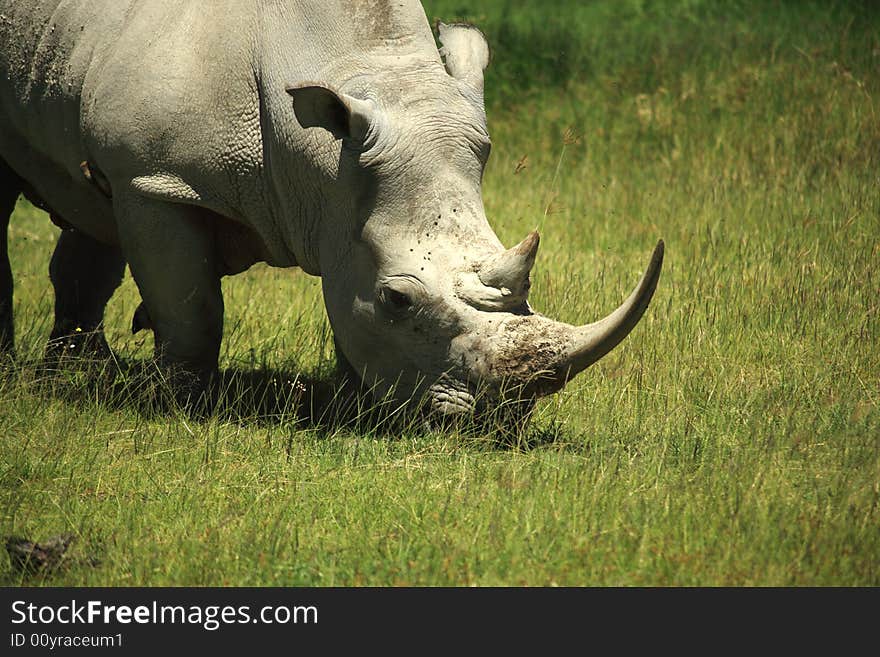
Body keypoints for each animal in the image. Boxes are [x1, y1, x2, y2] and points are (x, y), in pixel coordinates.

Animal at [0, 0, 660, 418]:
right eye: (398, 299)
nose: (500, 418)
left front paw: (354, 402)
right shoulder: (155, 179)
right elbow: (192, 311)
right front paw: (181, 408)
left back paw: (79, 373)